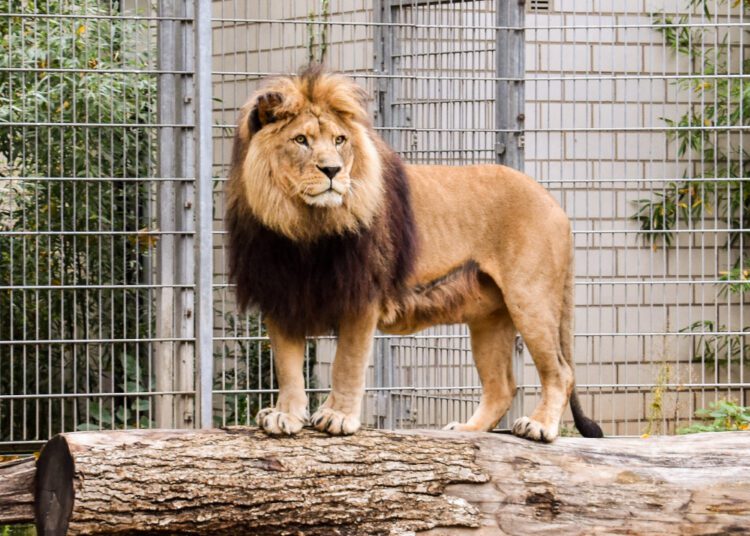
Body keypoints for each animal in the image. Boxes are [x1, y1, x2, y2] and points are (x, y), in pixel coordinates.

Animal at [226, 66, 603, 442]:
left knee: (560, 372)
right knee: (502, 387)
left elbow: (347, 363)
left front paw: (337, 416)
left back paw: (539, 426)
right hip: (490, 317)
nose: (332, 171)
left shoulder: (362, 297)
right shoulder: (281, 295)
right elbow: (287, 367)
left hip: (530, 299)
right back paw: (467, 429)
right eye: (301, 140)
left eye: (339, 141)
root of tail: (554, 202)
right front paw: (285, 416)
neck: (304, 226)